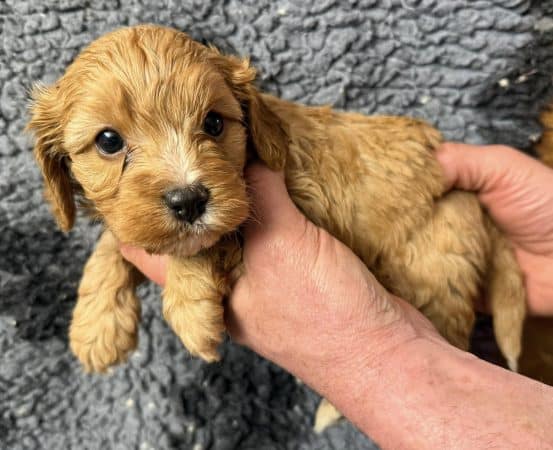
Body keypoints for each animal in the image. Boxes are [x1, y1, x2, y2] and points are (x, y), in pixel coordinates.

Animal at [30, 24, 528, 398]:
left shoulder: (291, 196)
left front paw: (190, 309)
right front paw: (96, 325)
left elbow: (210, 241)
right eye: (108, 141)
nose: (189, 200)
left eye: (214, 122)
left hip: (437, 268)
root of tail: (470, 201)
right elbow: (114, 241)